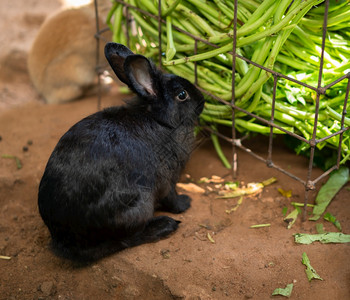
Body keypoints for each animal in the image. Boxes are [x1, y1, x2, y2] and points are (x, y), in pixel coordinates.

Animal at [37, 42, 205, 262]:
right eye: (182, 95)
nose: (203, 100)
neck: (160, 120)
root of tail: (66, 240)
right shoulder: (166, 180)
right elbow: (171, 198)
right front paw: (186, 203)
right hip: (139, 204)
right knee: (127, 239)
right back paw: (164, 226)